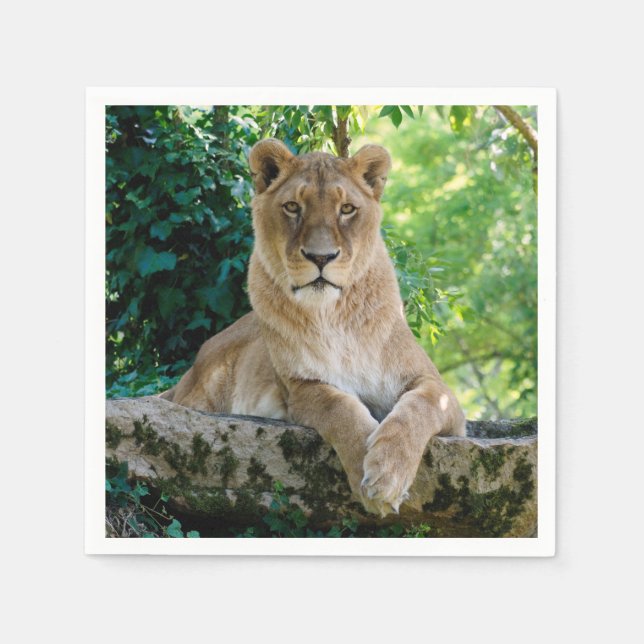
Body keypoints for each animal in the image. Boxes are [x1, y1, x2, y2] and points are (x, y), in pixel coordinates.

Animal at [161, 138, 465, 516]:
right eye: (293, 206)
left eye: (347, 209)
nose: (321, 257)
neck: (334, 315)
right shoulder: (300, 388)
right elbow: (339, 408)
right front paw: (367, 470)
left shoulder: (438, 391)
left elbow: (420, 407)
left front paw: (387, 474)